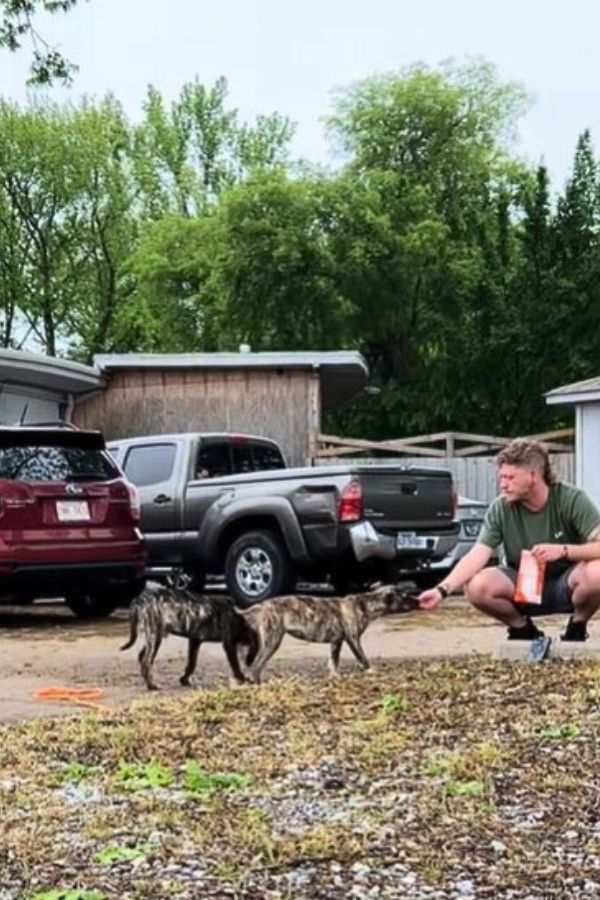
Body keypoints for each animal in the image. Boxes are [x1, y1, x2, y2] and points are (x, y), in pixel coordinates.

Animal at [120, 584, 256, 688]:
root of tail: (140, 598)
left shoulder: (195, 641)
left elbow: (191, 663)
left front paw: (184, 680)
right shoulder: (228, 644)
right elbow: (235, 665)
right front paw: (242, 678)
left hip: (154, 638)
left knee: (142, 657)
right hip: (154, 636)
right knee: (146, 662)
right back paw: (151, 685)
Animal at [236, 584, 418, 684]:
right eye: (405, 596)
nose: (418, 600)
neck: (364, 604)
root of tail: (261, 606)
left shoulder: (336, 642)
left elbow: (334, 663)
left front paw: (335, 677)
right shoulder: (353, 639)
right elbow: (363, 659)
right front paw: (371, 672)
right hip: (271, 642)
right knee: (255, 667)